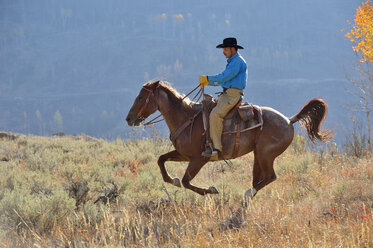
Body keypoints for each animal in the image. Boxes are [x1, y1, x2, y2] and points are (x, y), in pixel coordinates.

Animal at [125, 80, 332, 201]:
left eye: (141, 97)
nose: (129, 118)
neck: (186, 117)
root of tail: (289, 120)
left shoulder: (199, 159)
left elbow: (186, 181)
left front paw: (211, 189)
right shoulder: (184, 154)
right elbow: (161, 160)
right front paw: (172, 180)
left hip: (265, 154)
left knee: (270, 176)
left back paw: (247, 194)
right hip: (259, 155)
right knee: (260, 178)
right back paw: (248, 196)